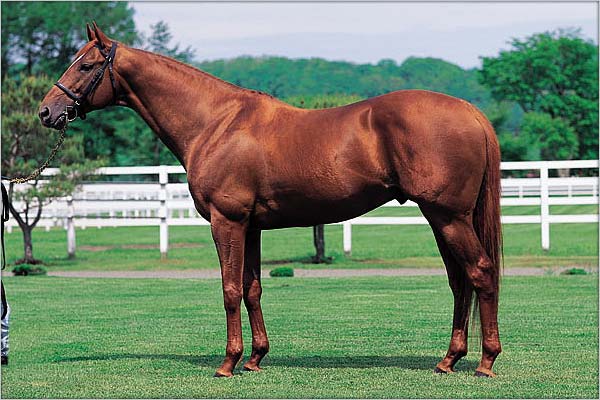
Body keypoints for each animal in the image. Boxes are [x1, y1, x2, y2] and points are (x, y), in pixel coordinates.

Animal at [38, 22, 502, 378]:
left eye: (86, 64)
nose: (46, 111)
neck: (216, 123)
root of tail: (471, 112)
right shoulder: (252, 226)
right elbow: (252, 288)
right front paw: (255, 358)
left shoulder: (226, 222)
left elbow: (228, 289)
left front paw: (228, 363)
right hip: (441, 218)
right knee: (459, 281)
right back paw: (448, 360)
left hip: (448, 216)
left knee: (480, 273)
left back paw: (484, 362)